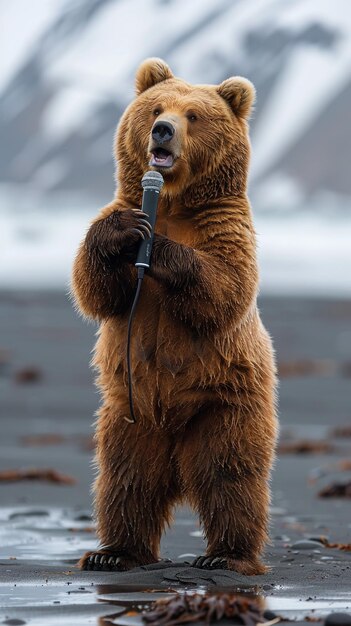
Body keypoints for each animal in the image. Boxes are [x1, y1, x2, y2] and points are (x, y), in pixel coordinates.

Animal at [73, 56, 280, 572]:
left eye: (194, 115)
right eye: (155, 109)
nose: (163, 131)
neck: (169, 200)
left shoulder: (227, 227)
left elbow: (225, 285)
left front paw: (164, 249)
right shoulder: (123, 207)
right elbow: (95, 286)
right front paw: (122, 230)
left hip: (227, 403)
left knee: (230, 475)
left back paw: (227, 556)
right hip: (129, 413)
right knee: (125, 479)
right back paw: (114, 553)